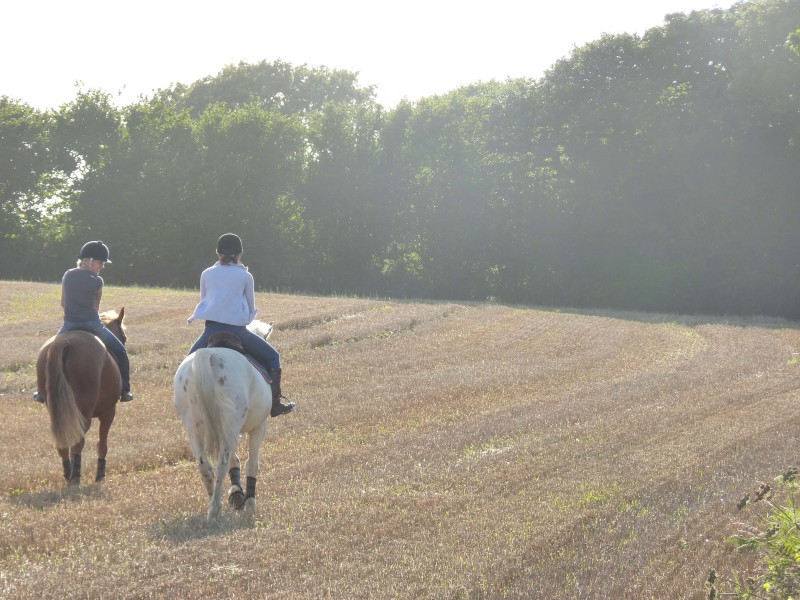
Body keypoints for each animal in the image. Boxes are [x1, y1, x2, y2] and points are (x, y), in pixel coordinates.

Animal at [36, 310, 128, 482]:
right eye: (124, 337)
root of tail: (64, 342)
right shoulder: (108, 412)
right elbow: (102, 445)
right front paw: (100, 475)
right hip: (84, 412)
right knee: (77, 442)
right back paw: (76, 477)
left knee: (64, 443)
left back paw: (69, 475)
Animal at [172, 322, 276, 516]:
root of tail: (209, 355)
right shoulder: (259, 427)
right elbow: (252, 464)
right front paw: (249, 503)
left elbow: (236, 461)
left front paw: (236, 494)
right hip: (230, 425)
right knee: (222, 463)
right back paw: (215, 508)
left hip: (195, 428)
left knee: (204, 465)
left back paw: (213, 501)